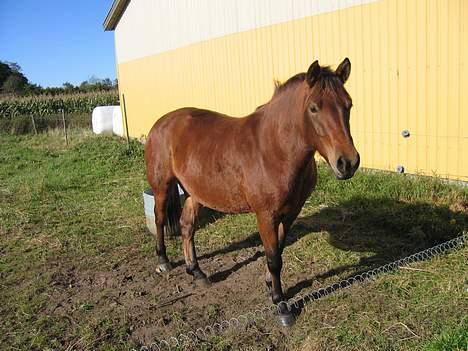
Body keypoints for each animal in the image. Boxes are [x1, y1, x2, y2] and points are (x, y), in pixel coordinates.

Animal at [143, 58, 358, 328]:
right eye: (314, 108)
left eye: (348, 104)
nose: (347, 163)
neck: (275, 148)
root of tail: (162, 123)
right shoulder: (265, 215)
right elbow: (274, 258)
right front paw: (281, 305)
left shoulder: (289, 214)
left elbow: (278, 250)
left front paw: (270, 287)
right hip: (162, 186)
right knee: (160, 219)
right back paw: (163, 262)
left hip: (195, 193)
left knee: (187, 226)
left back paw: (197, 272)